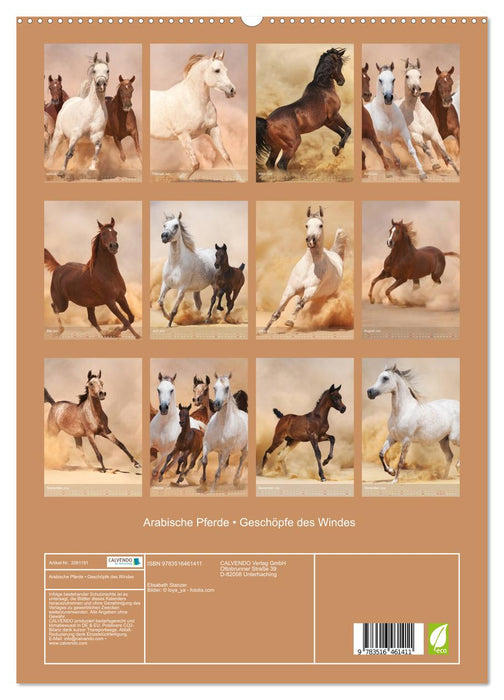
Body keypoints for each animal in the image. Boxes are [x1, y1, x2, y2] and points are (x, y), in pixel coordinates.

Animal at [150, 51, 242, 181]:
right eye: (217, 70)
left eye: (226, 70)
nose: (232, 91)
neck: (194, 101)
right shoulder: (183, 135)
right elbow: (195, 164)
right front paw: (180, 177)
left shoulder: (213, 129)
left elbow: (226, 156)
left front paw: (240, 179)